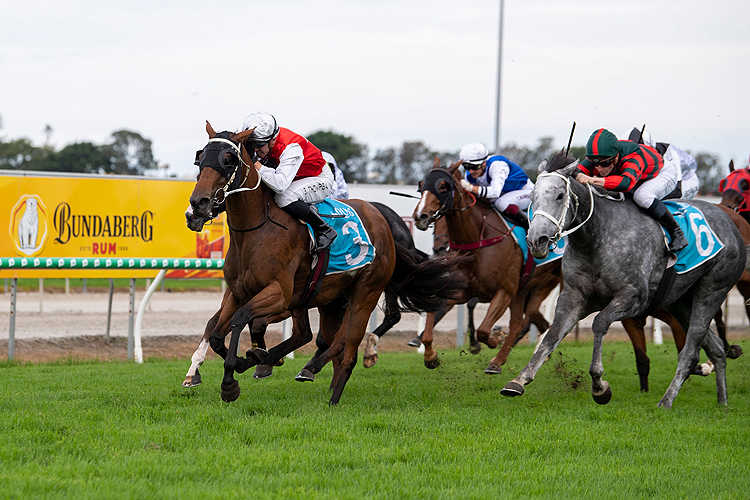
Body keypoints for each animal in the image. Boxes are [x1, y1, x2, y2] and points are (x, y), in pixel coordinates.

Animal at [188, 123, 468, 404]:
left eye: (228, 160)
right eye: (200, 158)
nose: (196, 206)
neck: (256, 230)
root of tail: (384, 223)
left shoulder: (279, 294)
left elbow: (241, 319)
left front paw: (230, 381)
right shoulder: (239, 292)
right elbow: (216, 333)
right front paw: (228, 366)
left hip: (364, 295)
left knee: (347, 346)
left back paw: (329, 389)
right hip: (330, 299)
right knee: (314, 336)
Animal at [502, 152, 748, 410]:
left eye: (560, 196)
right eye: (532, 197)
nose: (536, 240)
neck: (597, 236)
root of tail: (731, 222)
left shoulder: (633, 297)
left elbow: (600, 323)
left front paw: (600, 386)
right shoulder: (574, 296)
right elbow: (552, 334)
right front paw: (519, 380)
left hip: (712, 290)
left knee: (690, 352)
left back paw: (666, 401)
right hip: (680, 302)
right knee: (716, 349)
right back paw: (722, 402)